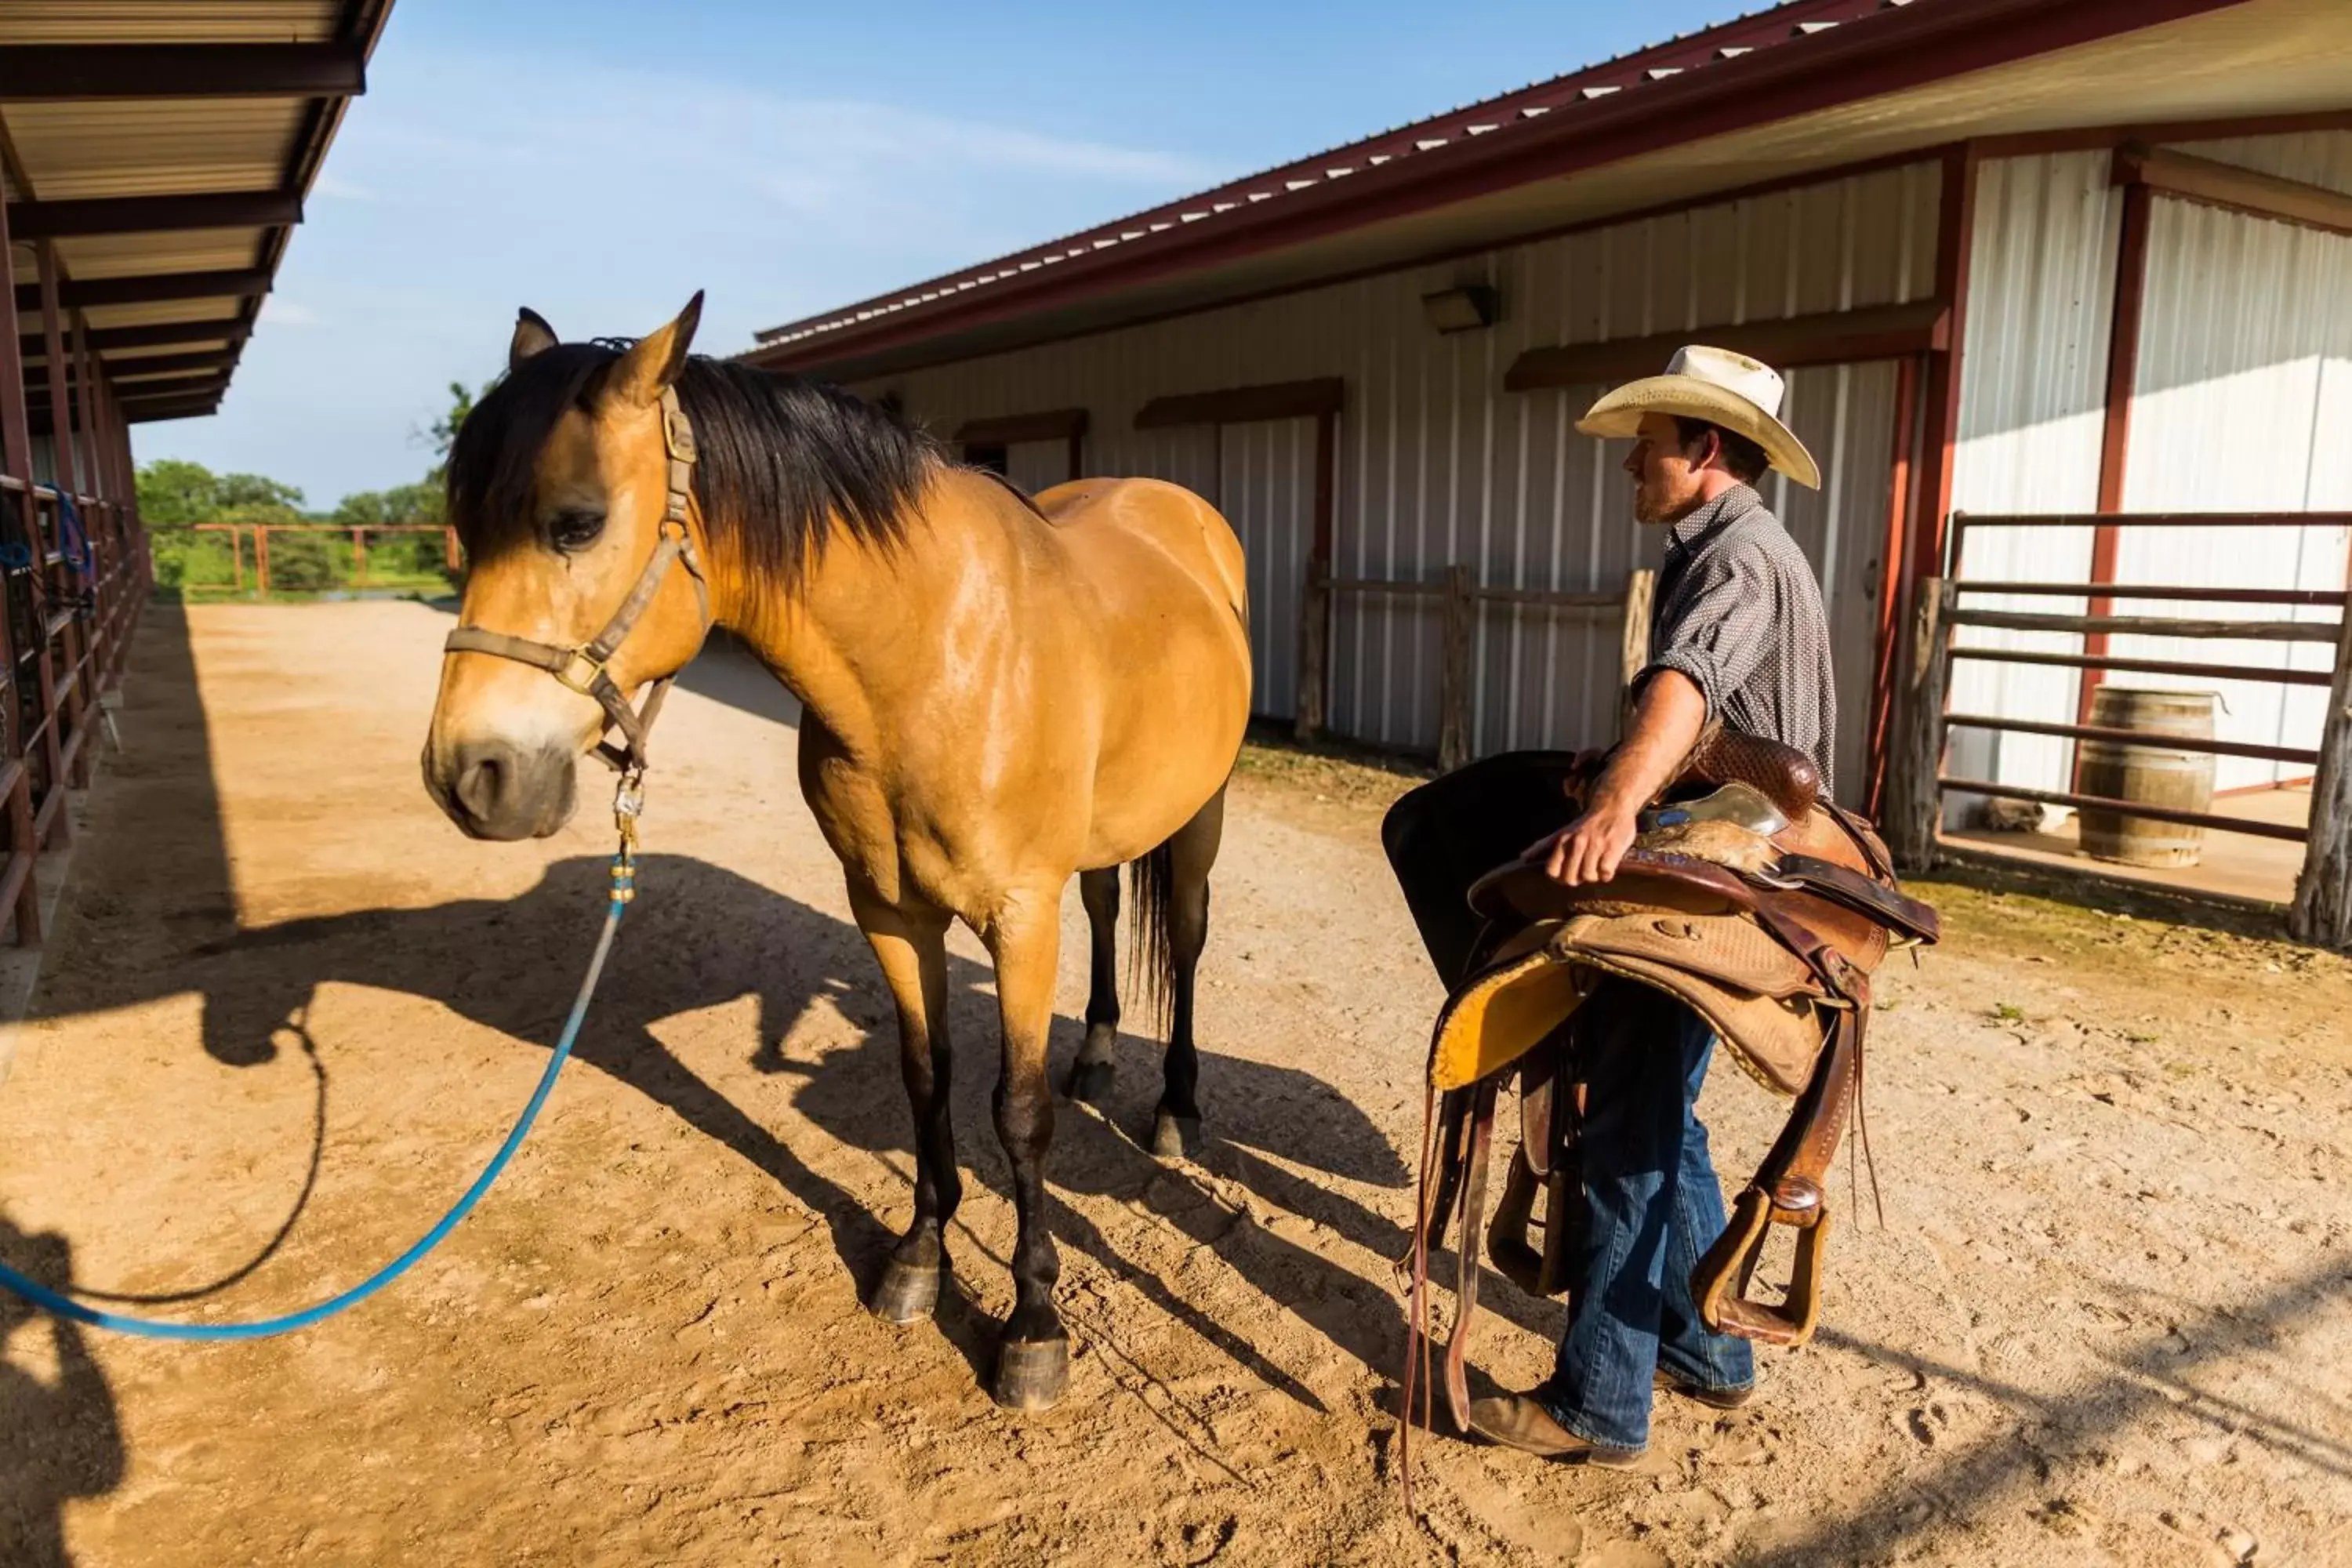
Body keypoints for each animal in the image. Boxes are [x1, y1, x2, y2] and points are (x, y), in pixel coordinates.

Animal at [423, 293, 1270, 1410]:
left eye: (577, 520)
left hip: (1200, 818)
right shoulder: (887, 907)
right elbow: (923, 1075)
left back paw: (1176, 1108)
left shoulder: (1017, 915)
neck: (931, 655)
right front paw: (916, 1257)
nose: (467, 774)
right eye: (464, 530)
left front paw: (1033, 1324)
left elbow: (1018, 1113)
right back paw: (1095, 1053)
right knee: (1103, 910)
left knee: (1187, 936)